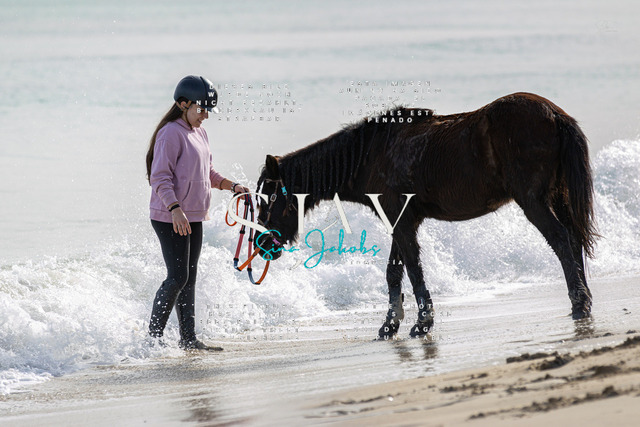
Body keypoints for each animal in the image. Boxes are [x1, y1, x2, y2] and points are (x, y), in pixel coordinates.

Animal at [254, 92, 597, 339]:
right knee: (574, 240)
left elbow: (414, 271)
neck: (369, 154)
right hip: (559, 198)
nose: (263, 244)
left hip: (534, 202)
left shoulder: (402, 224)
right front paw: (390, 324)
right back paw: (584, 301)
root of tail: (554, 114)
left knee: (561, 240)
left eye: (268, 198)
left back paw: (579, 303)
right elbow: (394, 273)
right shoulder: (400, 222)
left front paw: (422, 323)